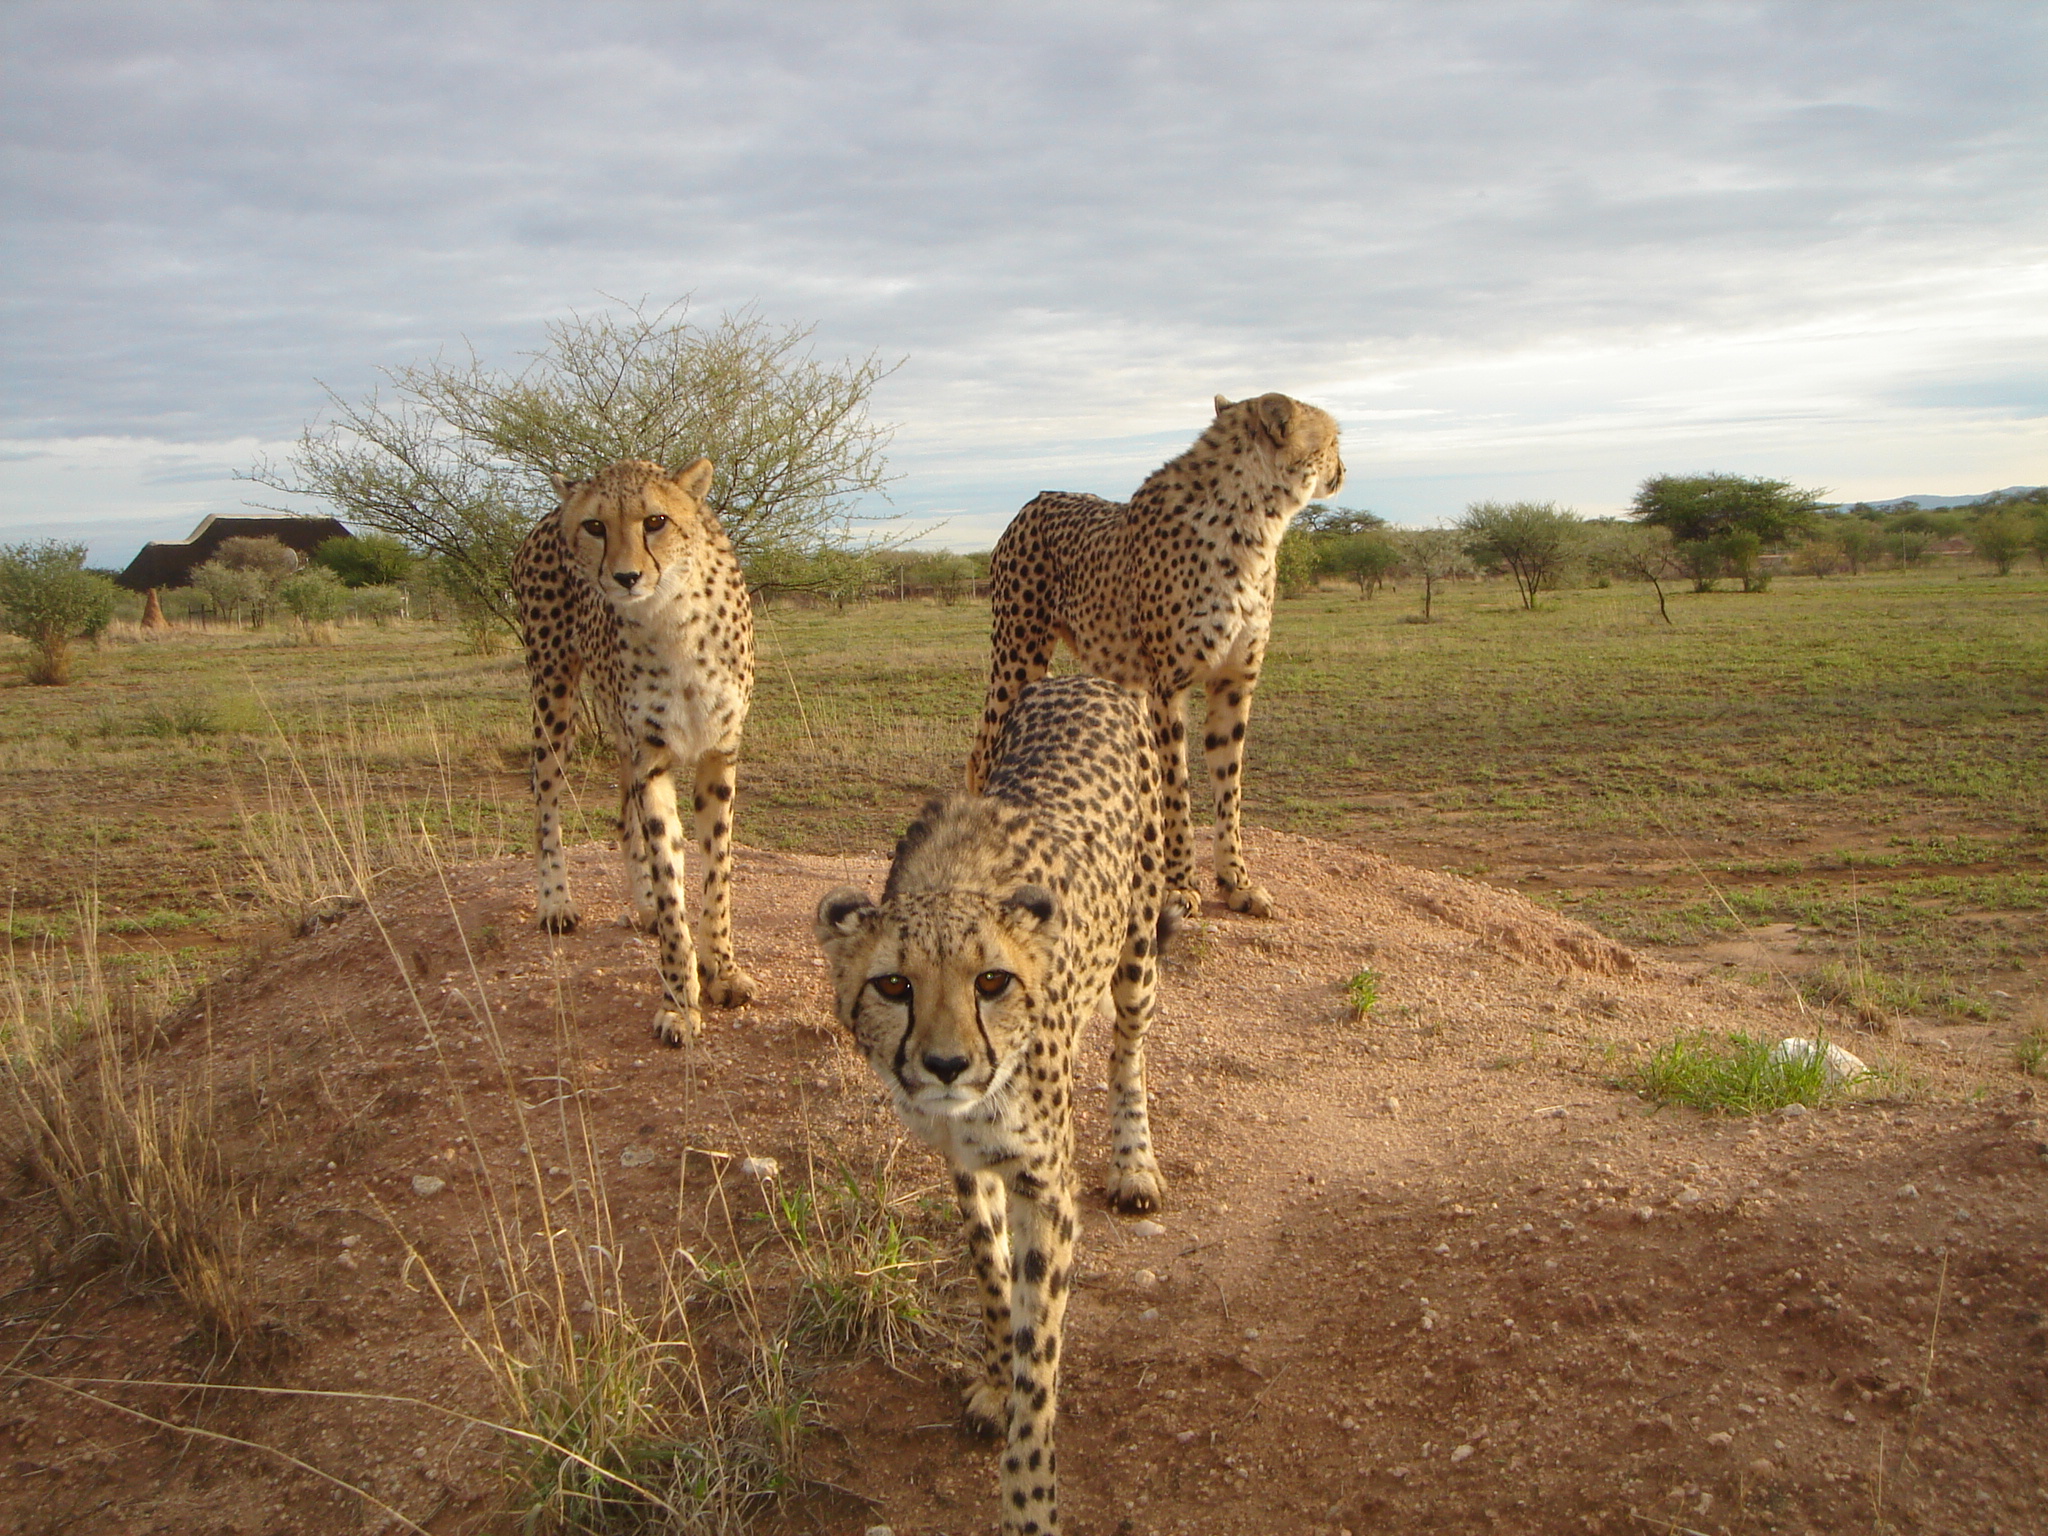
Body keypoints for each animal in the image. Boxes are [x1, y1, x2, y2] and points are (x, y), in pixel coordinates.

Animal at [511, 457, 758, 1046]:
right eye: (595, 527)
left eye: (656, 521)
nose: (625, 578)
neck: (673, 617)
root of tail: (549, 511)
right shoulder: (653, 757)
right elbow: (672, 881)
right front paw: (679, 1000)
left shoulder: (718, 754)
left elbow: (717, 874)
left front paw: (723, 971)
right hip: (553, 692)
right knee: (545, 797)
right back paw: (556, 903)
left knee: (624, 818)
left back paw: (639, 906)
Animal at [815, 673, 1172, 1536]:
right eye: (893, 985)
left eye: (992, 981)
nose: (946, 1065)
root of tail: (1091, 676)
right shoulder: (963, 1157)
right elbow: (990, 1270)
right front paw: (990, 1378)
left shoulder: (1047, 1187)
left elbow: (1041, 1356)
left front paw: (1028, 1500)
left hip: (1138, 951)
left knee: (1128, 1050)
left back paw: (1135, 1165)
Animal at [966, 391, 1345, 921]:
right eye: (1332, 442)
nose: (1343, 469)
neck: (1254, 523)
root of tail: (1038, 497)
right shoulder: (1169, 686)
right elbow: (1177, 791)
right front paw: (1181, 886)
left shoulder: (1233, 684)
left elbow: (1228, 787)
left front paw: (1236, 883)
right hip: (1019, 651)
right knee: (982, 747)